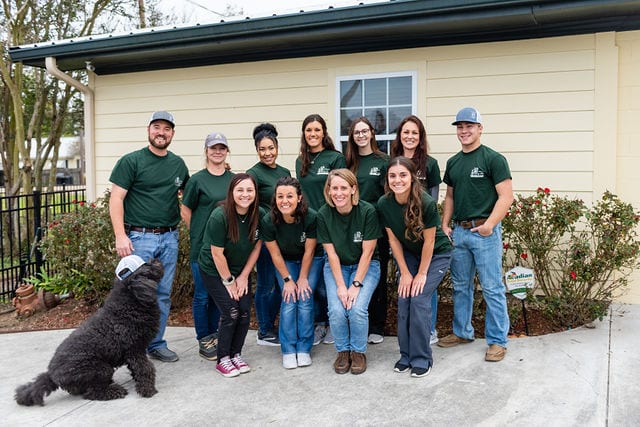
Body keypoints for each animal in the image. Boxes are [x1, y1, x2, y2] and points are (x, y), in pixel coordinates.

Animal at [15, 260, 164, 406]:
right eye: (146, 266)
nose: (158, 260)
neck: (129, 303)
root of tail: (51, 375)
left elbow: (137, 369)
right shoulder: (135, 350)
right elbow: (145, 369)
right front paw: (148, 390)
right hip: (101, 369)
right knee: (92, 393)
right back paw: (114, 391)